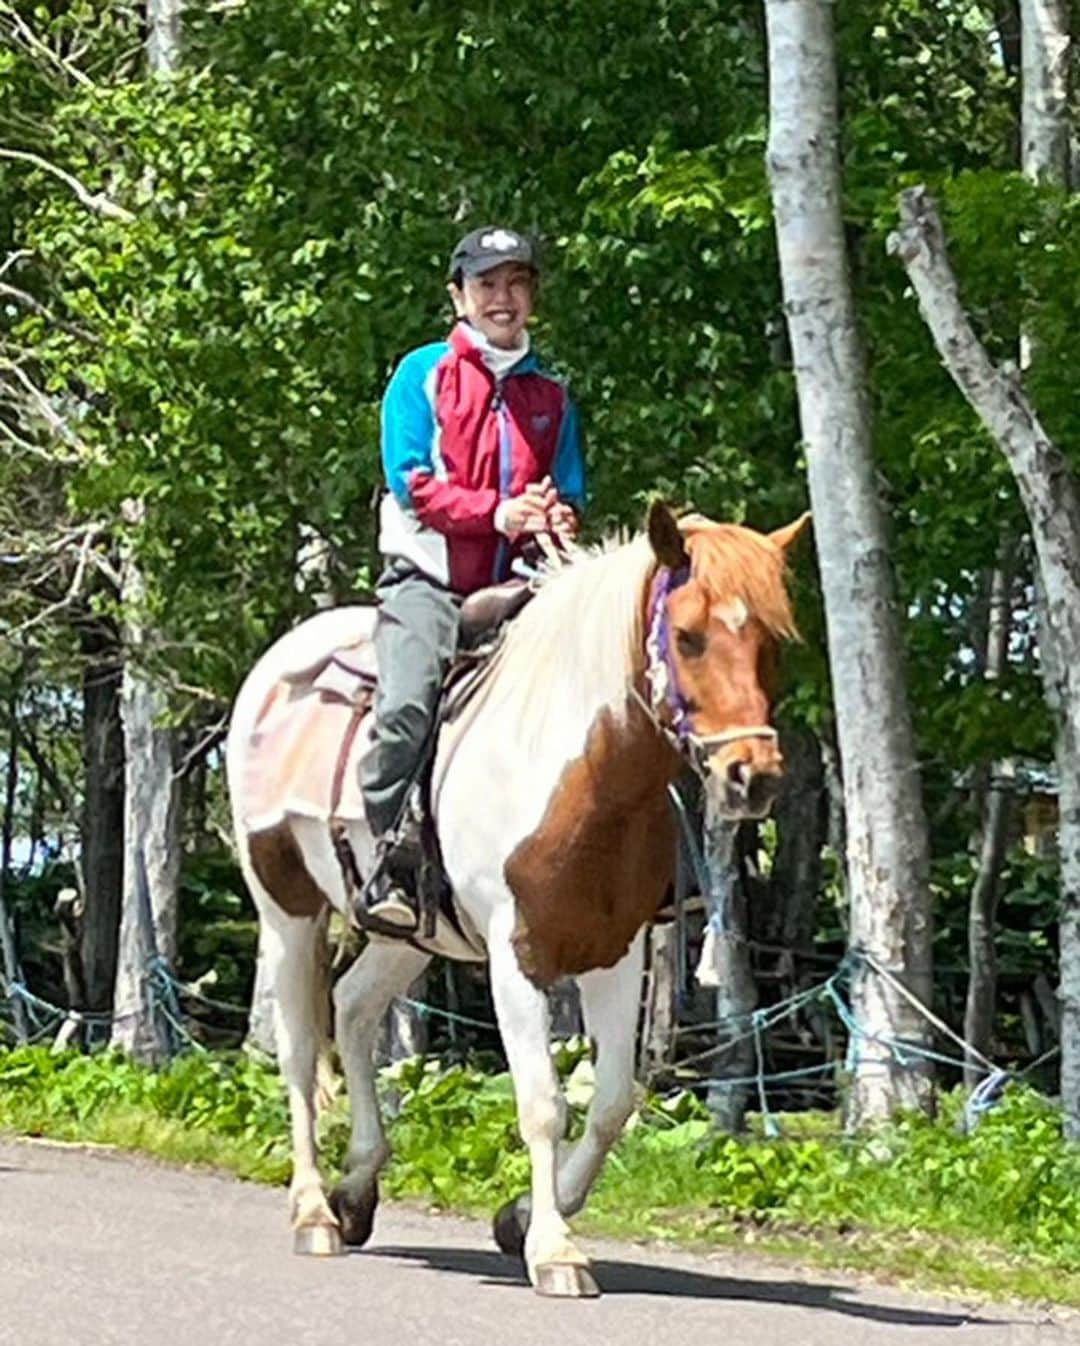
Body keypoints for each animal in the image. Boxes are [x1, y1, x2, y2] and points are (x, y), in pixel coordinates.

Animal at [224, 503, 797, 1292]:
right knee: (301, 1048)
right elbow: (544, 1104)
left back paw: (357, 1189)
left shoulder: (615, 952)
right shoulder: (514, 954)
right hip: (286, 906)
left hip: (410, 933)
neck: (582, 774)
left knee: (354, 1009)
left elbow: (611, 1101)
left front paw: (522, 1217)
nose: (753, 776)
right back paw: (314, 1210)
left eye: (772, 639)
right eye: (688, 635)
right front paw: (554, 1250)